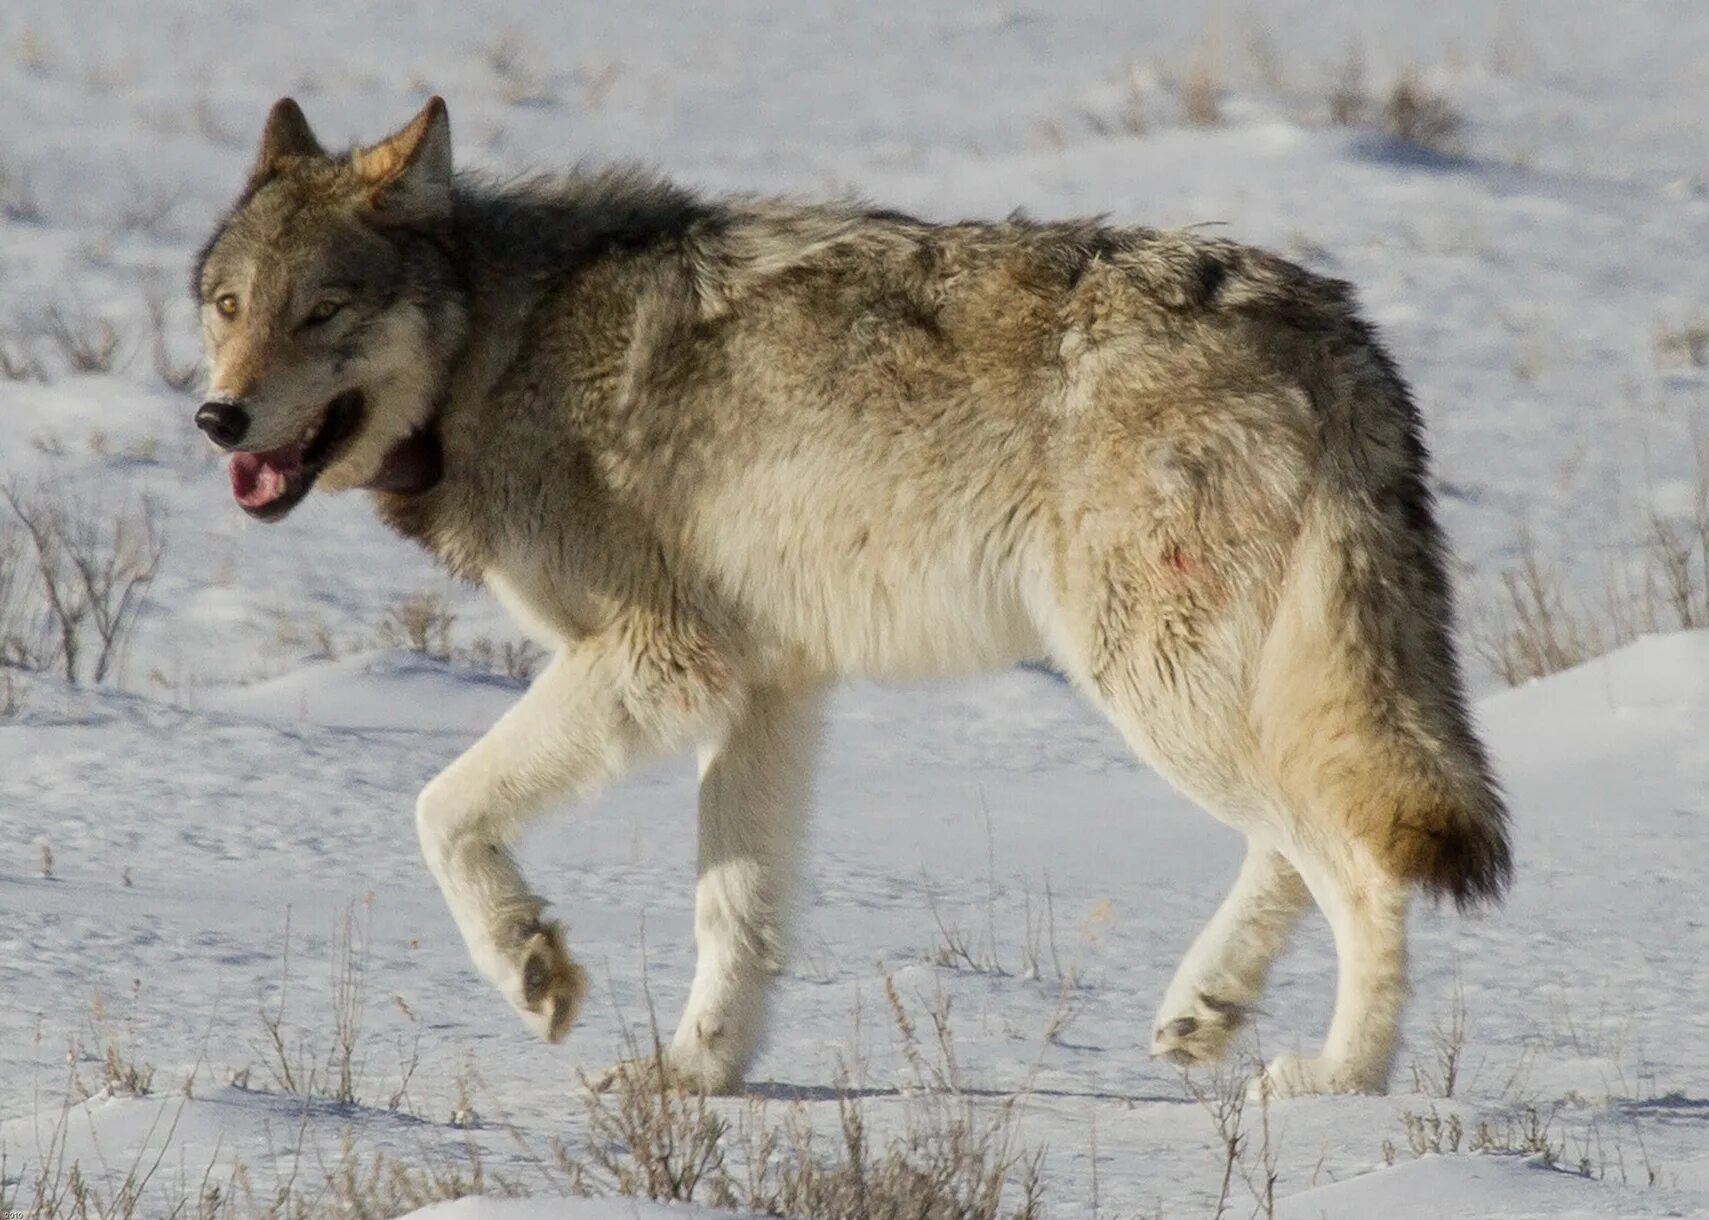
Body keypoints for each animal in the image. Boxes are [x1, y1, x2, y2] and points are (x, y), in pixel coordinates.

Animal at [193, 99, 1517, 1100]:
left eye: (323, 310)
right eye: (227, 306)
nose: (217, 416)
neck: (497, 350)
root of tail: (1329, 319)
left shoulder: (659, 662)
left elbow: (440, 808)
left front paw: (534, 970)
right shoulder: (766, 686)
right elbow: (733, 914)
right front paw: (694, 1077)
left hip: (1154, 682)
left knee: (1354, 857)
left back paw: (1340, 1081)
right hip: (1208, 681)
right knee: (1299, 832)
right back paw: (1206, 1007)